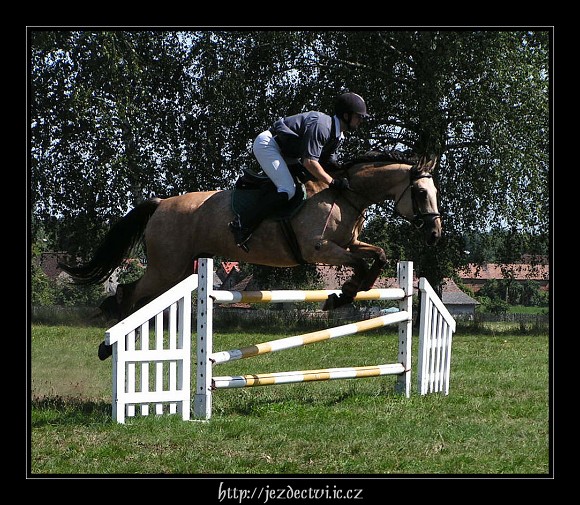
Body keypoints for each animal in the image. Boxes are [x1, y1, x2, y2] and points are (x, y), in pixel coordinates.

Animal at [59, 150, 442, 358]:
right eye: (421, 193)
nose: (435, 234)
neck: (343, 194)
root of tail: (162, 203)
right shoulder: (320, 249)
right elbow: (362, 263)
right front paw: (340, 296)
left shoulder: (346, 245)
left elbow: (377, 256)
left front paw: (343, 294)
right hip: (166, 268)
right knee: (131, 293)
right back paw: (109, 344)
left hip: (179, 269)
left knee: (142, 298)